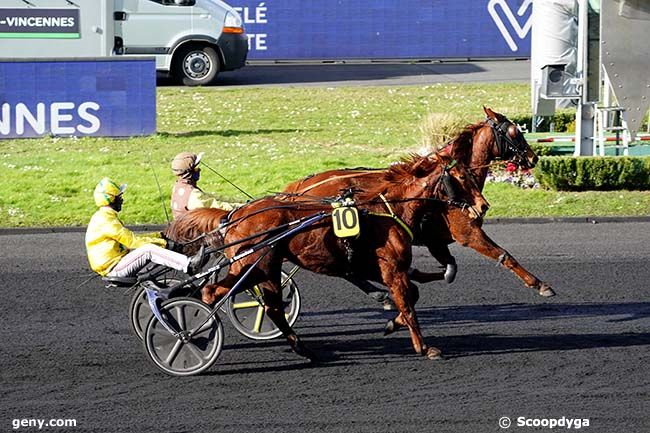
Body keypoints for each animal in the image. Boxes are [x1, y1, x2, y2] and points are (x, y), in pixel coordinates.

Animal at [196, 154, 486, 360]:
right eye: (461, 177)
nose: (483, 205)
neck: (389, 209)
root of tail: (234, 215)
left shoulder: (371, 266)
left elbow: (410, 295)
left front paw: (392, 324)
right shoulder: (392, 268)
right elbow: (408, 305)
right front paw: (424, 348)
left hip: (266, 267)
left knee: (273, 307)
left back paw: (304, 349)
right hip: (253, 265)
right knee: (211, 292)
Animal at [280, 107, 552, 296]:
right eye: (515, 132)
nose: (533, 158)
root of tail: (300, 187)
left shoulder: (436, 240)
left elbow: (449, 268)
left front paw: (417, 274)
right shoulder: (467, 232)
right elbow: (504, 255)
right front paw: (540, 284)